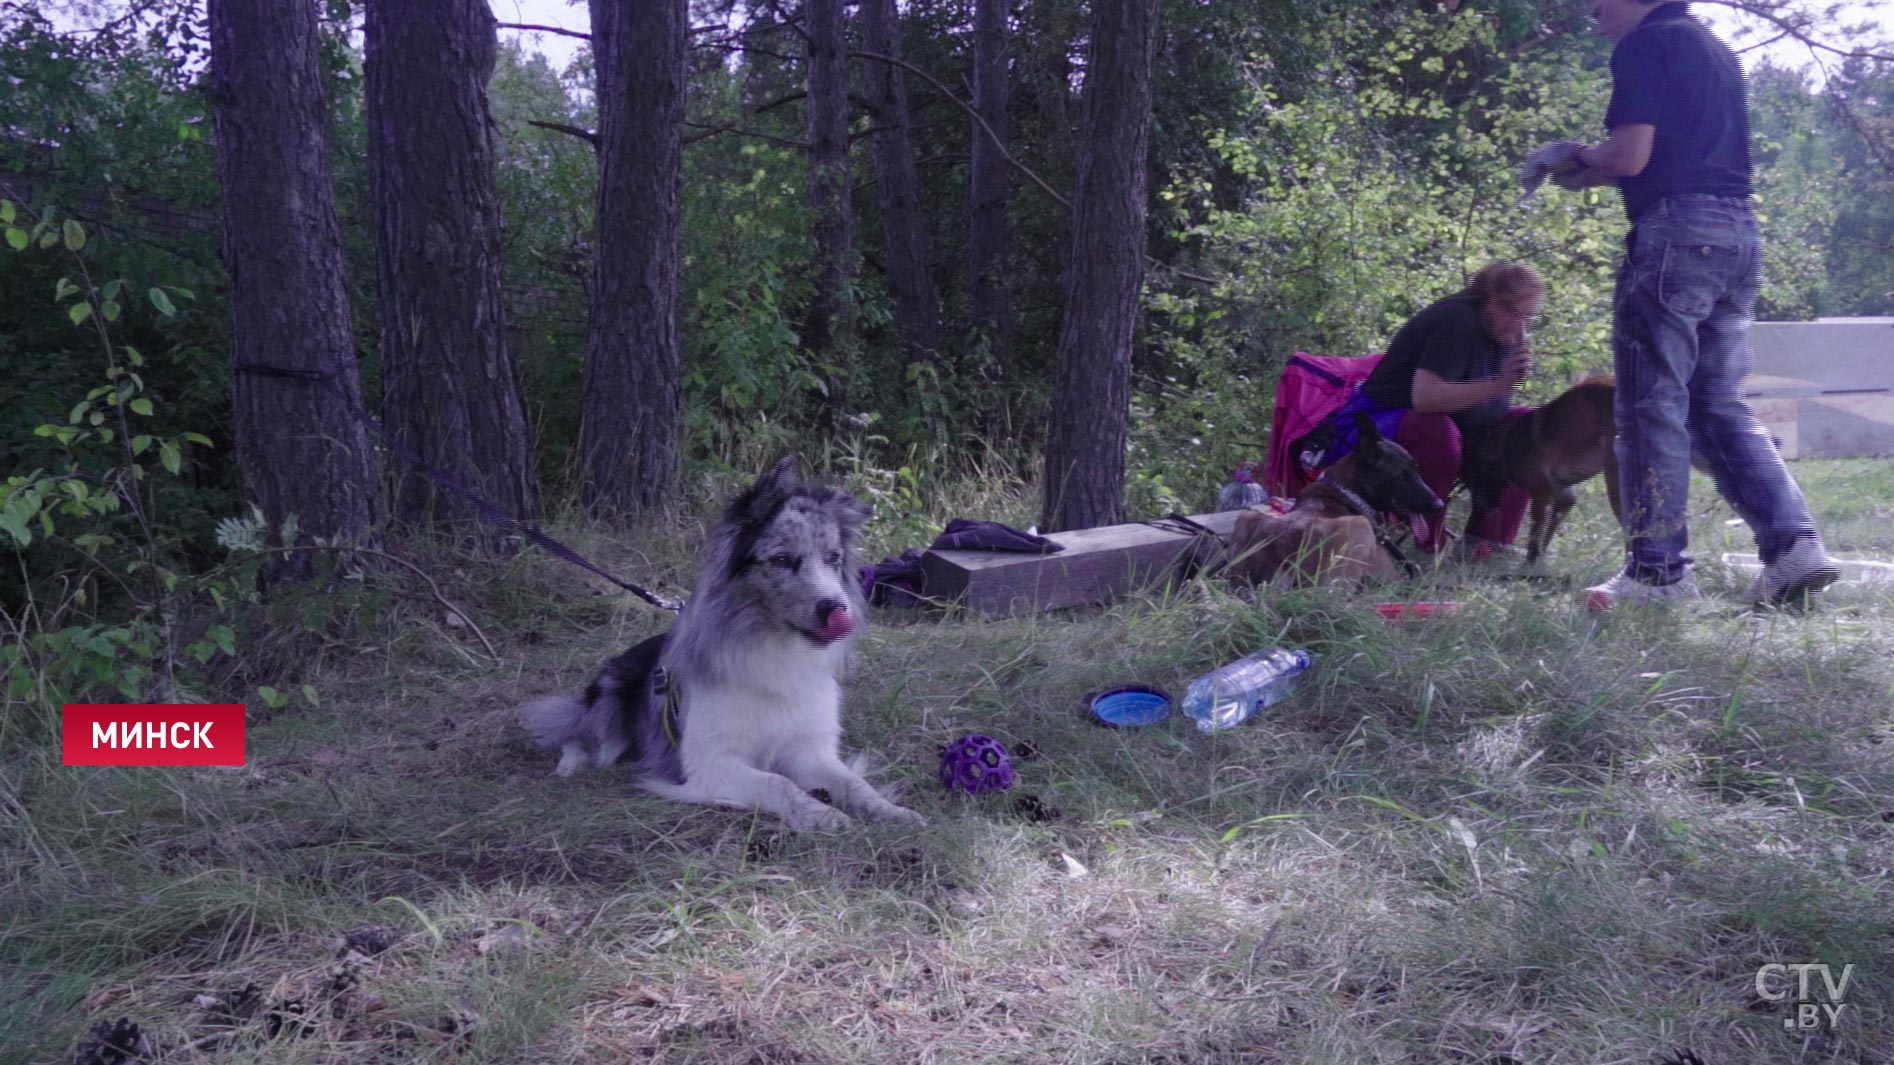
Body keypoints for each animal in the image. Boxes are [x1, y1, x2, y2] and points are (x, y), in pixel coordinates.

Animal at [1219, 407, 1439, 587]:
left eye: (1416, 469)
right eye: (1401, 475)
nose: (1439, 504)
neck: (1347, 492)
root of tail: (1282, 563)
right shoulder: (1389, 577)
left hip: (1246, 518)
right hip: (1358, 527)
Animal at [1454, 375, 1621, 564]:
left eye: (1474, 477)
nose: (1483, 510)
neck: (1505, 441)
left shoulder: (1541, 494)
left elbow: (1535, 537)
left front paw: (1529, 564)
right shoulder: (1564, 496)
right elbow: (1546, 536)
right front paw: (1539, 562)